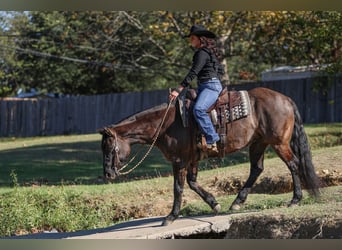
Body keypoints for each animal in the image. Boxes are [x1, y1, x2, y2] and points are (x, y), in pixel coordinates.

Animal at [98, 87, 320, 226]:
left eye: (109, 147)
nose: (108, 174)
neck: (166, 123)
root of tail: (286, 99)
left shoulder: (179, 161)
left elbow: (178, 187)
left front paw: (171, 216)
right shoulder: (192, 159)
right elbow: (192, 183)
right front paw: (214, 203)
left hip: (278, 143)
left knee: (293, 164)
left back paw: (295, 199)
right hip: (259, 143)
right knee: (257, 169)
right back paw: (237, 201)